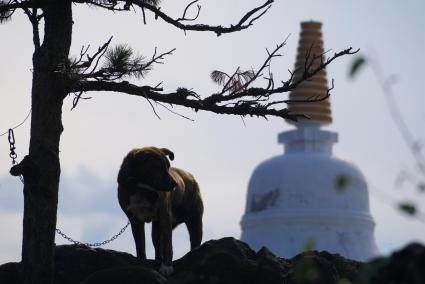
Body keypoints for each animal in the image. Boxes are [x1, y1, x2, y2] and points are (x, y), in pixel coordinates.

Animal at [116, 146, 202, 276]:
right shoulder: (135, 220)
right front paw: (142, 263)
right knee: (157, 245)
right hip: (157, 229)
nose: (175, 184)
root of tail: (190, 176)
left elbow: (168, 246)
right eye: (158, 167)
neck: (142, 187)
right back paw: (157, 260)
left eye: (168, 167)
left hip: (195, 222)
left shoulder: (165, 216)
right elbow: (140, 244)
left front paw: (167, 267)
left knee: (194, 243)